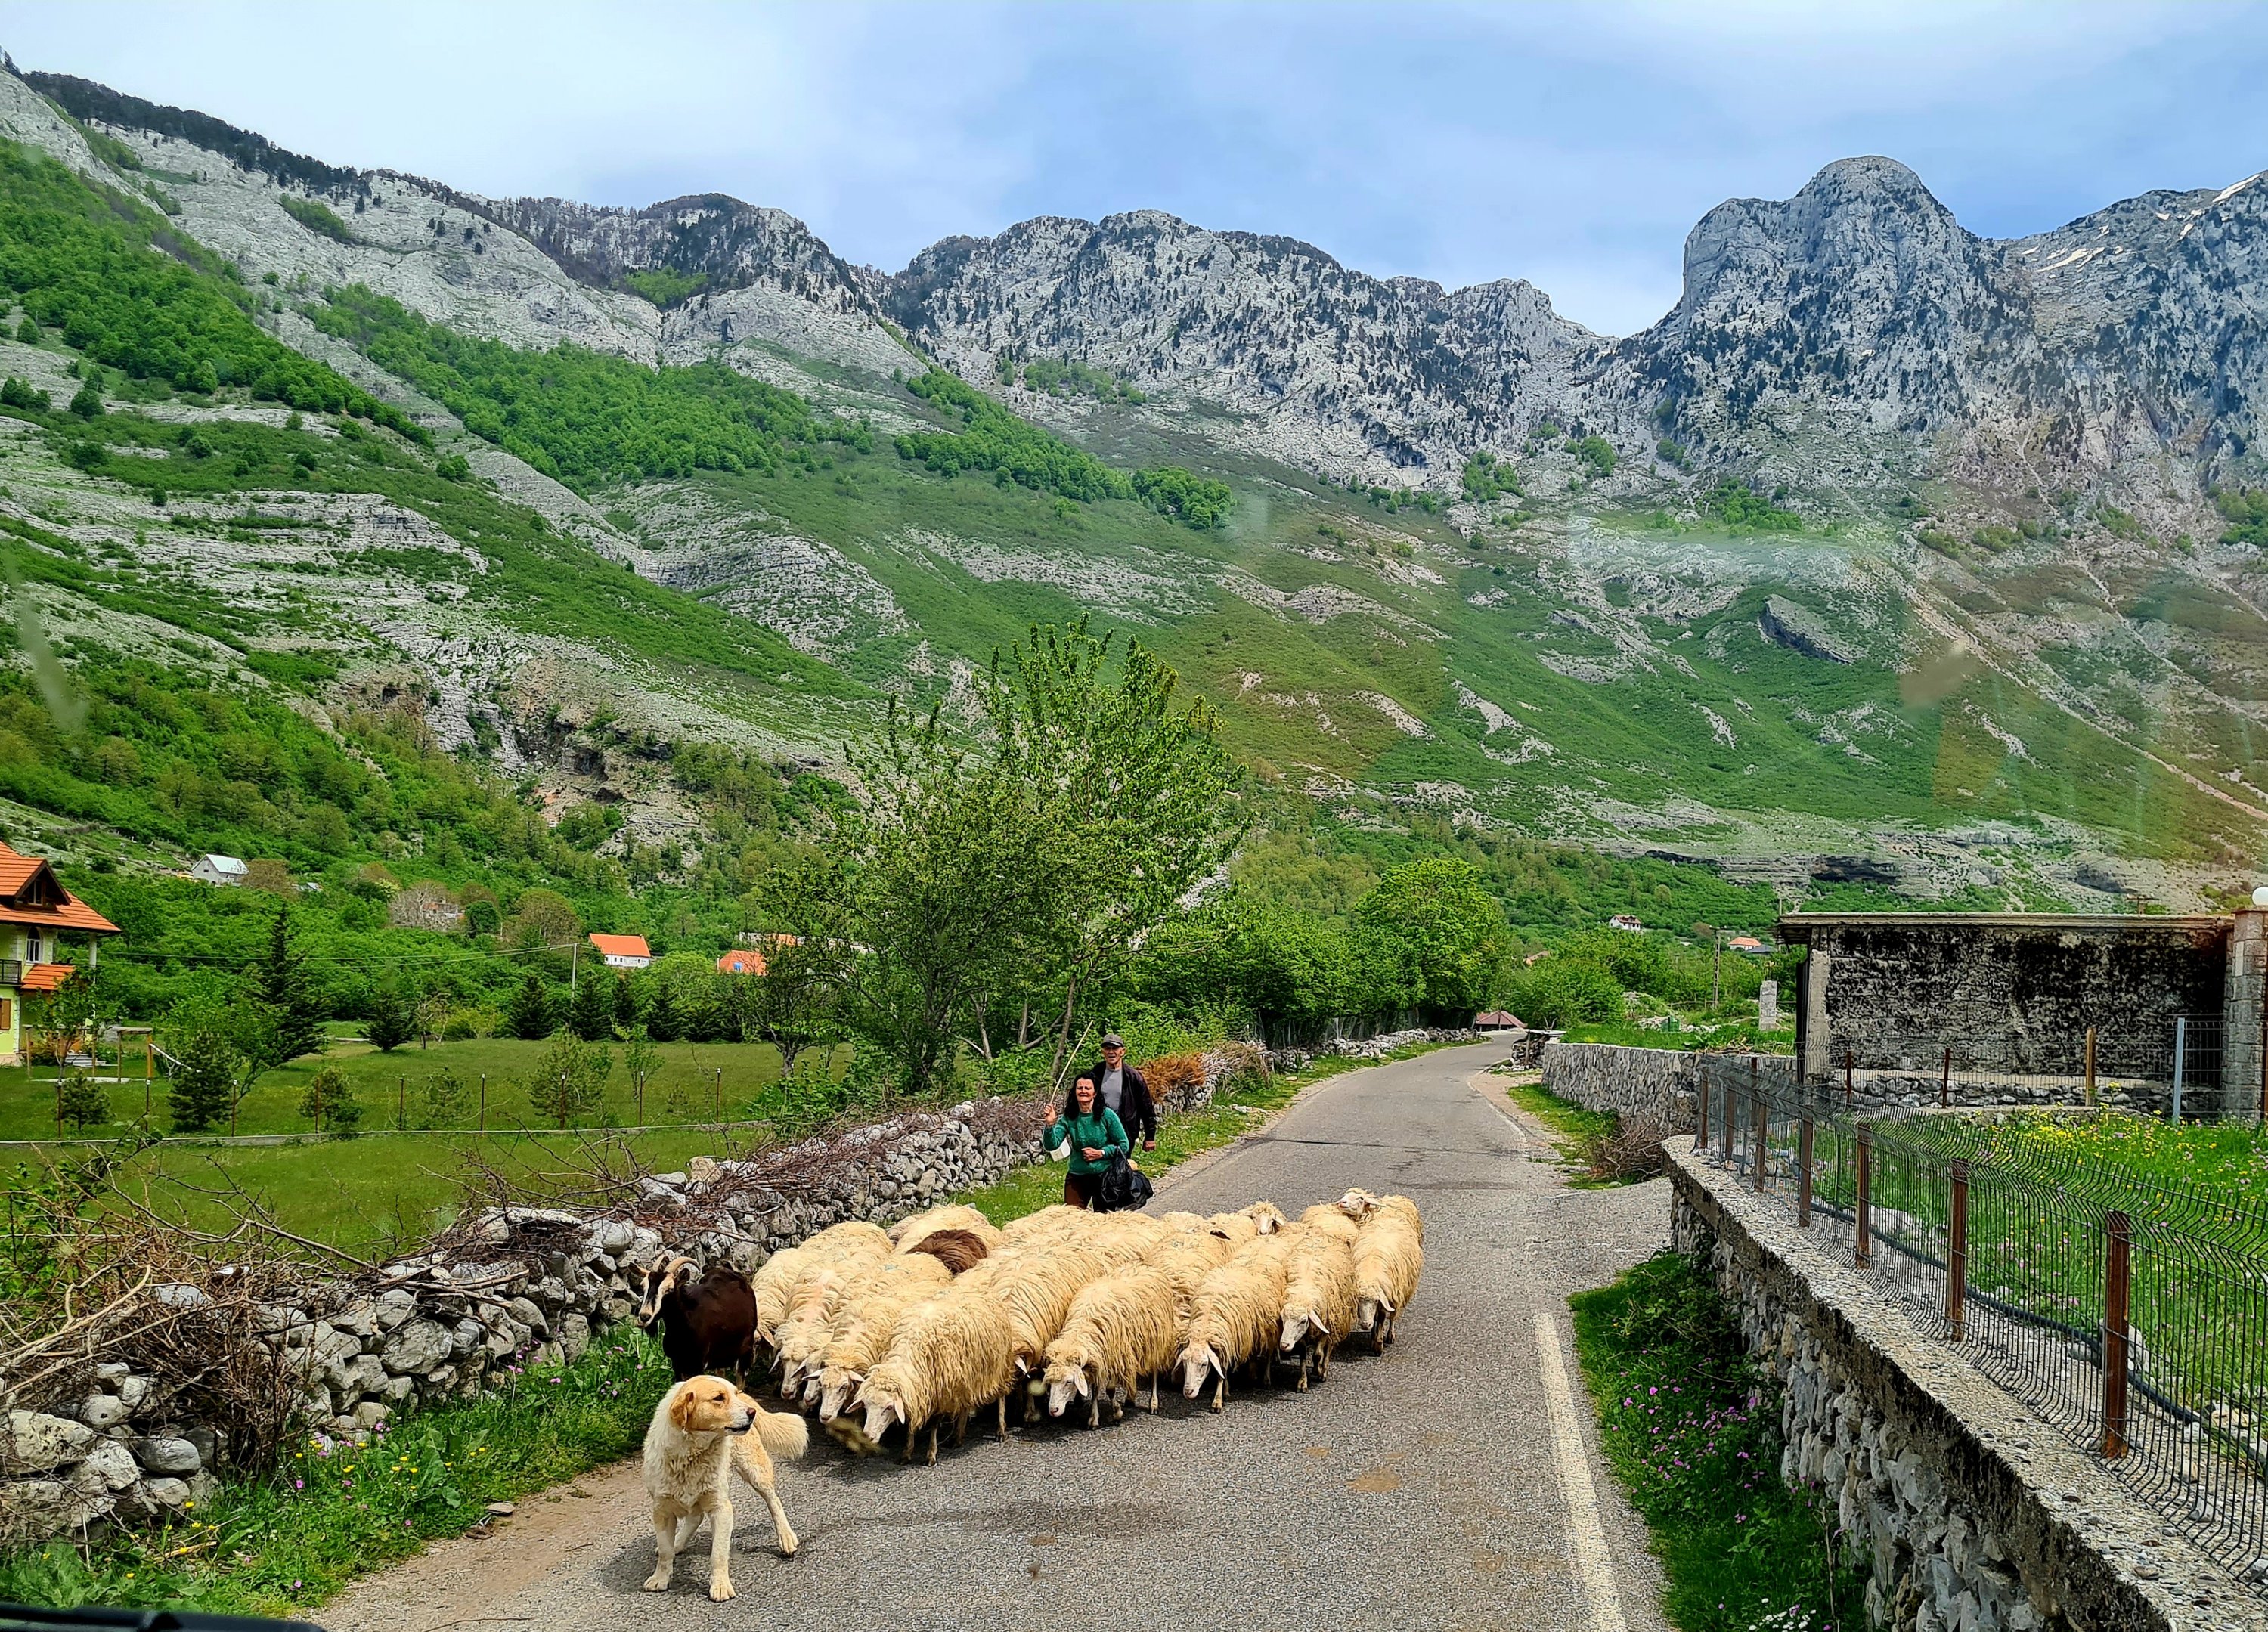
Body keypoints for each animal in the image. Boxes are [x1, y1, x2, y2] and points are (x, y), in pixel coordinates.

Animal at [851, 1288, 1020, 1464]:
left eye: (889, 1407)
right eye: (866, 1406)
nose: (868, 1437)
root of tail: (983, 1293)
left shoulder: (940, 1392)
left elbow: (933, 1424)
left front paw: (931, 1454)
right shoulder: (918, 1392)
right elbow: (912, 1423)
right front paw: (907, 1453)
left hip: (999, 1367)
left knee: (1001, 1397)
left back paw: (1000, 1430)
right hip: (966, 1377)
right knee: (965, 1405)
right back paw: (957, 1437)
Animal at [1041, 1265, 1183, 1427]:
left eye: (1069, 1381)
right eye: (1049, 1382)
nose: (1053, 1410)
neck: (1084, 1326)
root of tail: (1145, 1267)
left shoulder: (1115, 1358)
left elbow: (1109, 1390)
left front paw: (1117, 1412)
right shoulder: (1099, 1361)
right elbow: (1096, 1390)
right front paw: (1094, 1418)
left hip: (1155, 1341)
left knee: (1154, 1372)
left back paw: (1153, 1403)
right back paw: (1130, 1398)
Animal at [1176, 1252, 1290, 1412]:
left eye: (1204, 1364)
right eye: (1185, 1364)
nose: (1188, 1392)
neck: (1205, 1328)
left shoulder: (1227, 1342)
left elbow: (1221, 1373)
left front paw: (1217, 1401)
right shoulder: (1223, 1342)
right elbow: (1222, 1372)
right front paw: (1225, 1391)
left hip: (1268, 1329)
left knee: (1268, 1353)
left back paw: (1266, 1378)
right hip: (1252, 1331)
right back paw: (1252, 1374)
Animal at [1276, 1229, 1358, 1391]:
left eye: (1303, 1321)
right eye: (1283, 1318)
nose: (1284, 1345)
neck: (1302, 1296)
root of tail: (1322, 1234)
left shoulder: (1324, 1329)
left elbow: (1318, 1355)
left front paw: (1319, 1371)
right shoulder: (1302, 1335)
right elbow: (1303, 1355)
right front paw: (1302, 1382)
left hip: (1335, 1319)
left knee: (1329, 1347)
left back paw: (1323, 1369)